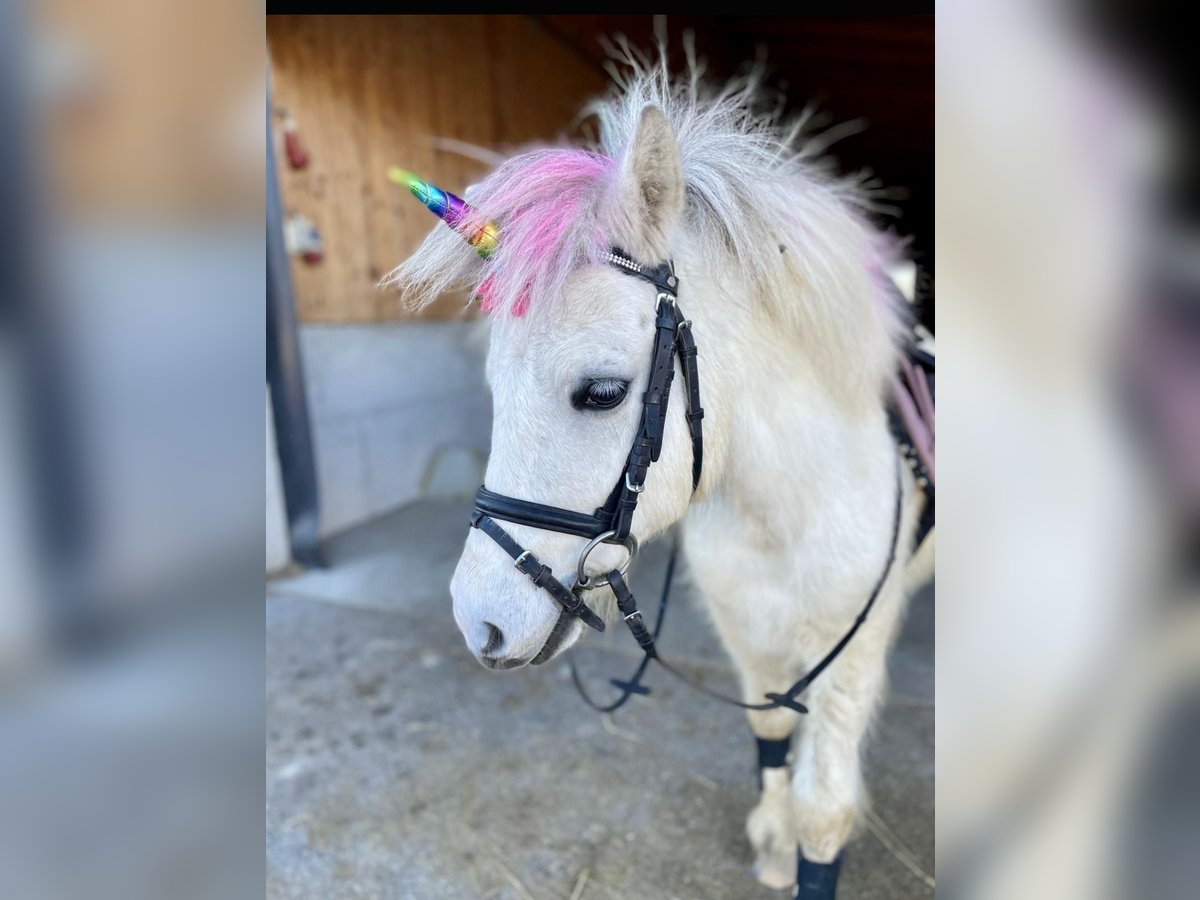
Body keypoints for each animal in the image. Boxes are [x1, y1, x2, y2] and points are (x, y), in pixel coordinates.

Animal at [388, 47, 921, 897]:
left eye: (603, 392)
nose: (480, 624)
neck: (781, 513)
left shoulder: (850, 660)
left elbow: (825, 810)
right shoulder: (750, 636)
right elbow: (773, 731)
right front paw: (773, 843)